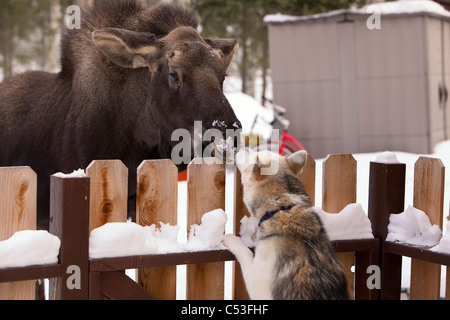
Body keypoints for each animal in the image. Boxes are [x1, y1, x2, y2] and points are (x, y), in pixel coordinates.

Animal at [223, 150, 350, 300]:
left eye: (254, 155)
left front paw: (231, 239)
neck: (282, 208)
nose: (240, 148)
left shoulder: (257, 284)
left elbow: (244, 252)